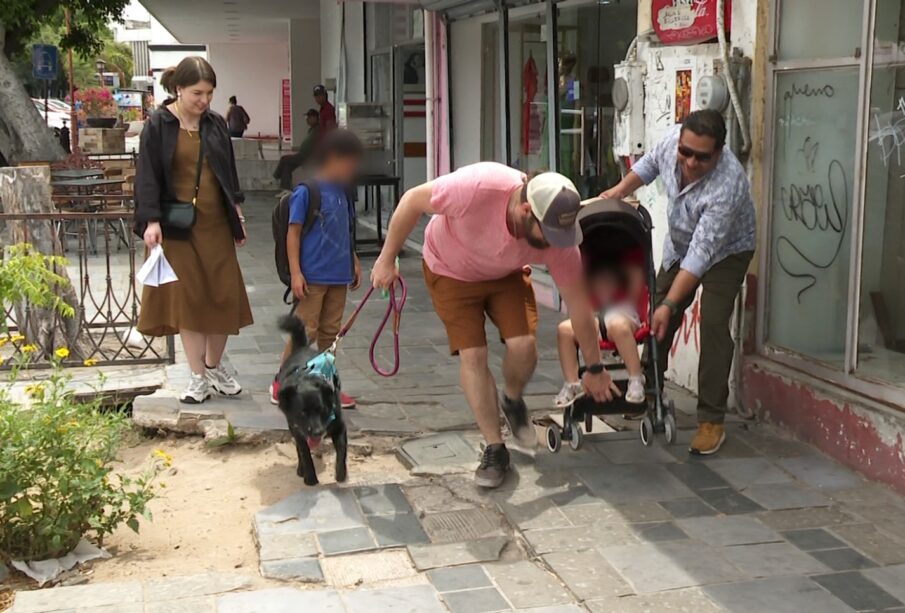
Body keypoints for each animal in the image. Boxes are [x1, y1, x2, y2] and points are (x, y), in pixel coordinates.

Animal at [276, 316, 346, 482]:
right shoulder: (298, 430)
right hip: (293, 427)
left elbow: (342, 452)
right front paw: (310, 478)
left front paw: (341, 474)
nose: (317, 432)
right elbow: (305, 453)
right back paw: (301, 469)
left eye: (322, 410)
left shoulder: (340, 426)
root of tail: (302, 347)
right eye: (302, 413)